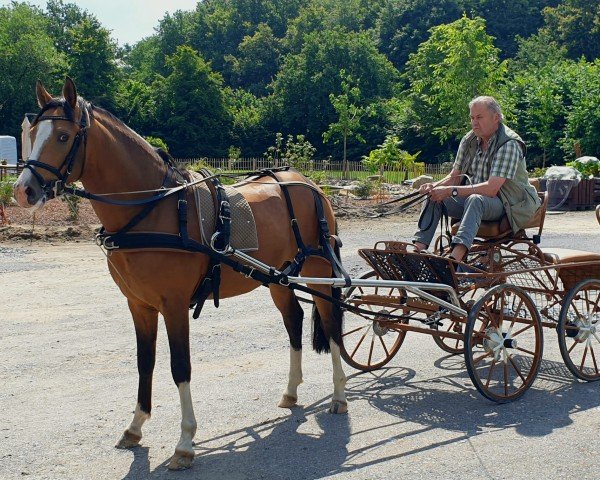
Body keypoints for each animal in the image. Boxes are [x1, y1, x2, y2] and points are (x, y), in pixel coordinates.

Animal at [12, 78, 346, 468]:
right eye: (32, 132)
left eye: (64, 136)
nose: (23, 190)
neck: (154, 208)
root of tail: (309, 184)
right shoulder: (139, 305)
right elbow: (145, 362)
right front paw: (135, 427)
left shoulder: (173, 306)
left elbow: (179, 367)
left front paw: (185, 442)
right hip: (277, 277)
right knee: (293, 321)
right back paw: (291, 392)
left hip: (320, 268)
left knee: (331, 322)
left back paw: (339, 395)